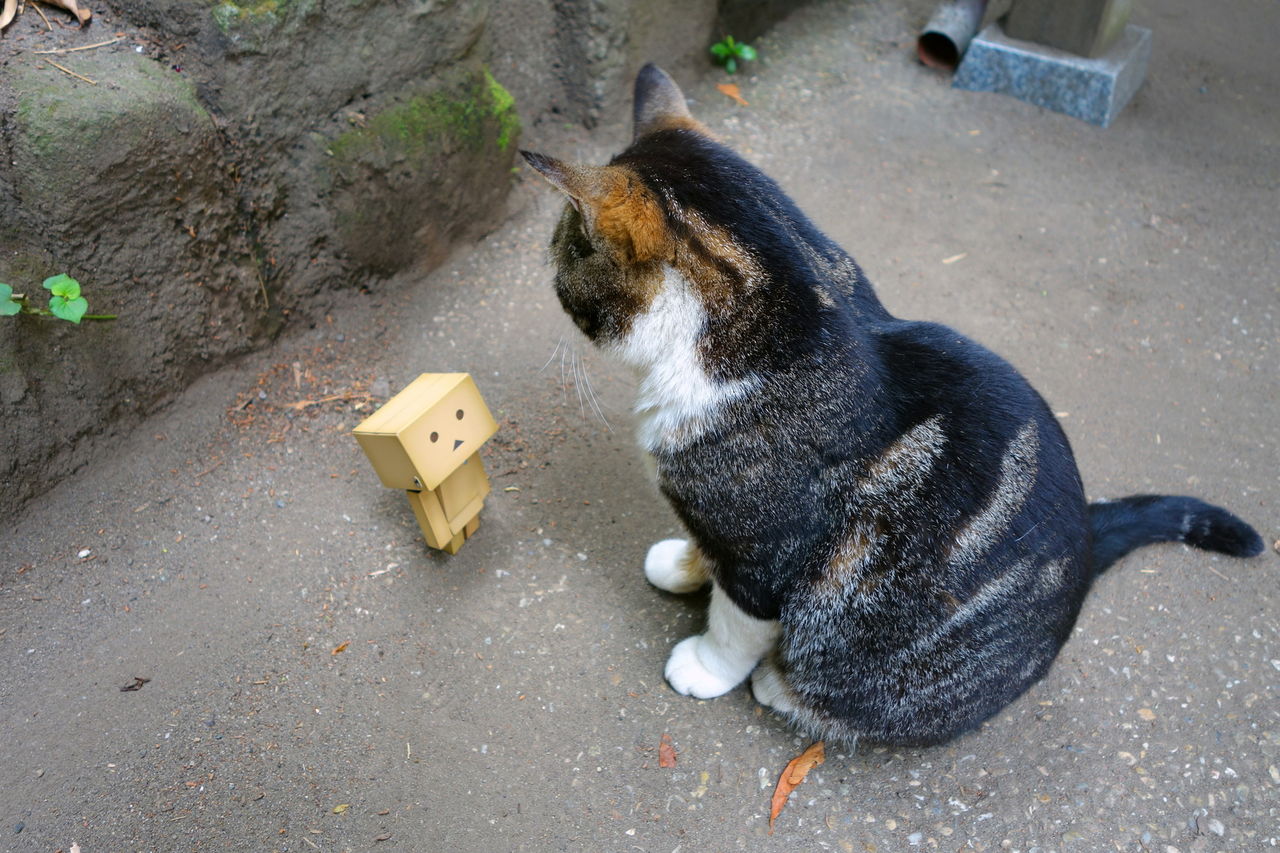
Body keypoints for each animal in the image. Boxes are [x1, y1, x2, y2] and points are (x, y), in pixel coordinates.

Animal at [521, 64, 1265, 746]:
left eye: (564, 248)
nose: (546, 269)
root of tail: (1086, 543)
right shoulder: (724, 523)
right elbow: (706, 551)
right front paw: (682, 564)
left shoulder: (767, 550)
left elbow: (737, 622)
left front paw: (706, 665)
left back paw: (780, 686)